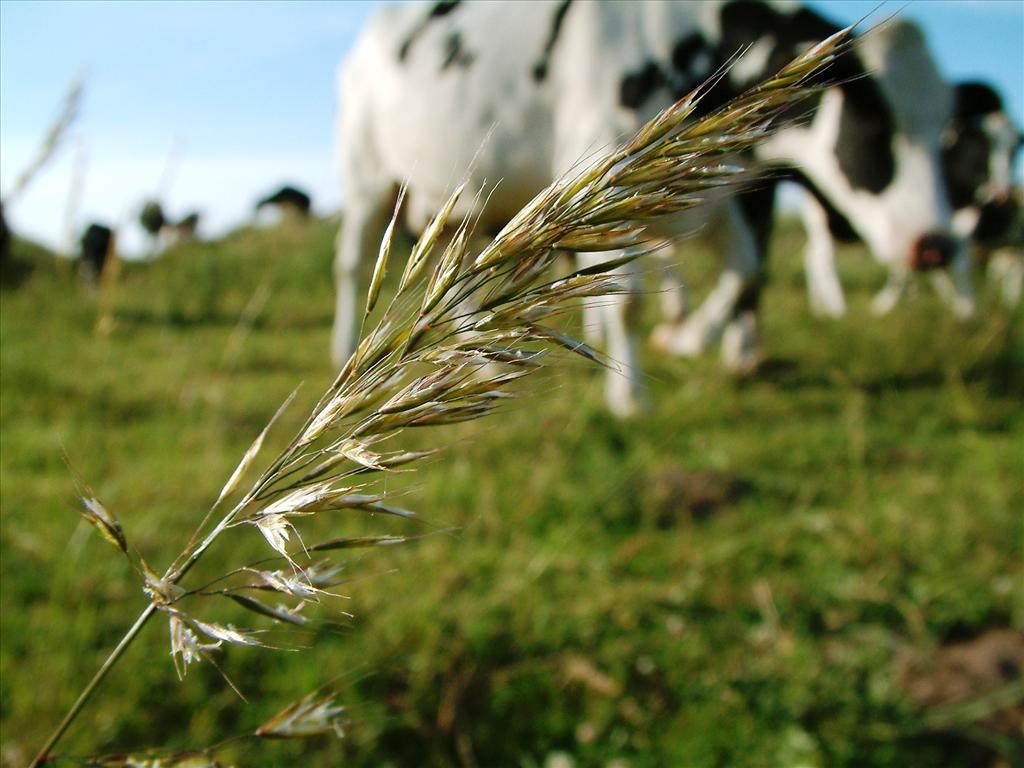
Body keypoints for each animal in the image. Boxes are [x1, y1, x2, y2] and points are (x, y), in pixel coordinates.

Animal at [331, 0, 962, 417]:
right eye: (872, 114)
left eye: (943, 130)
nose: (936, 244)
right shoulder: (607, 157)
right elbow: (631, 303)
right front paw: (631, 394)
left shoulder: (719, 193)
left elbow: (747, 272)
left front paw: (688, 341)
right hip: (367, 174)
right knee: (354, 263)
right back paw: (345, 352)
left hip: (456, 197)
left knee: (458, 281)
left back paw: (481, 363)